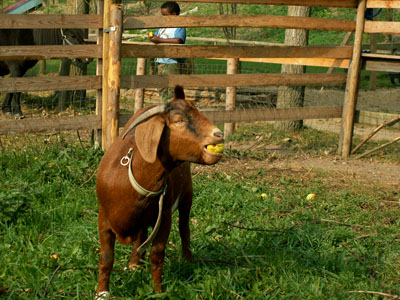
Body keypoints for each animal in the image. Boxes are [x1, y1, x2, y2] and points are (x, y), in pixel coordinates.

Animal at [95, 85, 223, 298]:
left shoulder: (164, 218)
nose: (219, 134)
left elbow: (157, 255)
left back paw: (187, 259)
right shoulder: (103, 218)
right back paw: (134, 264)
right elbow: (106, 257)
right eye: (178, 120)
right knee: (141, 234)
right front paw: (102, 293)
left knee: (184, 227)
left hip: (187, 194)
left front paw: (159, 291)